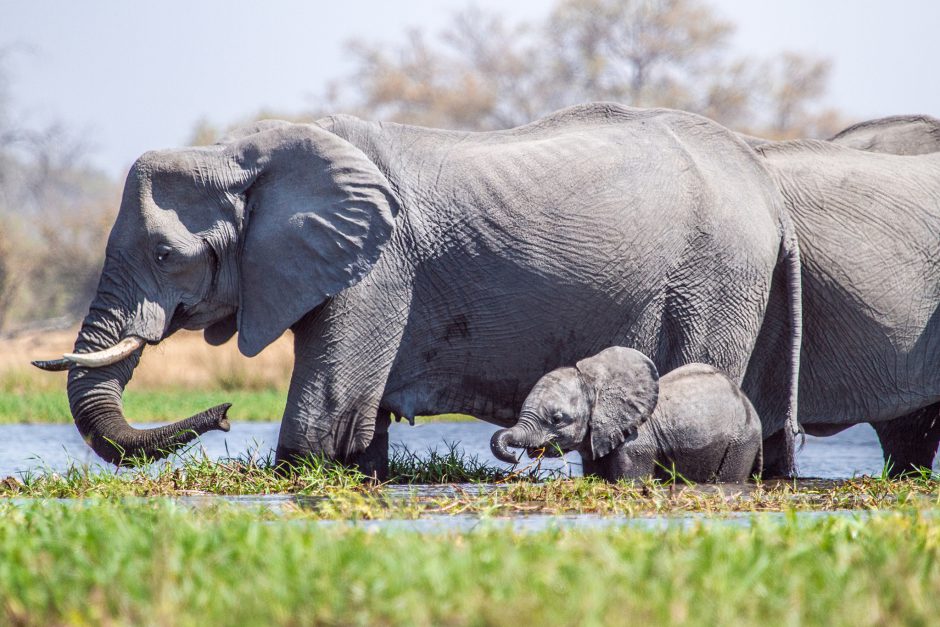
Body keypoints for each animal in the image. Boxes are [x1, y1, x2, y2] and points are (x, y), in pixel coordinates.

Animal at [492, 346, 764, 484]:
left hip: (740, 442)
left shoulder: (636, 445)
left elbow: (629, 481)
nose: (515, 459)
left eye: (557, 419)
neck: (596, 384)